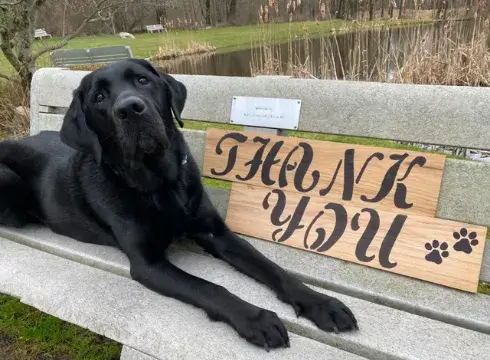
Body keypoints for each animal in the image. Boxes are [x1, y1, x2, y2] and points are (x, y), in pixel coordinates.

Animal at [0, 59, 356, 348]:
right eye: (99, 98)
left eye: (142, 80)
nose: (130, 109)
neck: (161, 184)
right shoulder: (148, 264)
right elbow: (210, 288)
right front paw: (256, 319)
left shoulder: (217, 233)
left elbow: (274, 269)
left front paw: (321, 303)